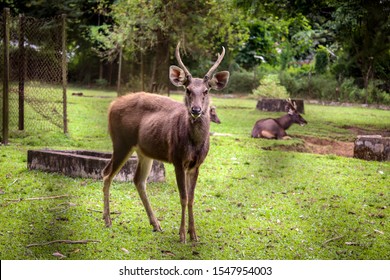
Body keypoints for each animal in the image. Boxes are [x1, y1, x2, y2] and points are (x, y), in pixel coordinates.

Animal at [102, 41, 229, 243]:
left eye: (206, 90)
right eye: (188, 90)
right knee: (107, 174)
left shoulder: (196, 165)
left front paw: (194, 234)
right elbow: (183, 197)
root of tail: (112, 105)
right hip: (121, 141)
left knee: (138, 180)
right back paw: (107, 220)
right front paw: (182, 235)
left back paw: (156, 224)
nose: (196, 110)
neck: (195, 143)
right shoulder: (177, 159)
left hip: (144, 151)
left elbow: (191, 197)